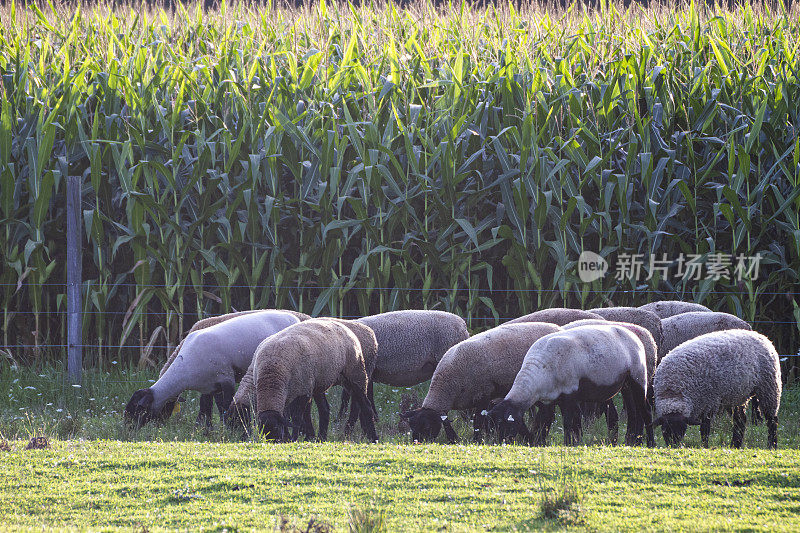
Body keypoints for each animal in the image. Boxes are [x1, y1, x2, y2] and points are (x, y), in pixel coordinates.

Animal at [123, 308, 302, 428]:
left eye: (138, 409)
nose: (129, 429)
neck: (185, 368)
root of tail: (293, 317)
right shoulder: (209, 386)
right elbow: (205, 408)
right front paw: (204, 429)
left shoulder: (226, 379)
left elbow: (225, 406)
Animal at [400, 322, 564, 442]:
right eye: (412, 427)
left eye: (427, 427)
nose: (417, 443)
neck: (447, 383)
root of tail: (556, 327)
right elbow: (448, 422)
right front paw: (455, 439)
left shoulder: (483, 394)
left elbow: (478, 421)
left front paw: (477, 440)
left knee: (547, 412)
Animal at [484, 324, 652, 444]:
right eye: (493, 426)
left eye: (505, 425)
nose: (500, 444)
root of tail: (633, 334)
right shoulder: (549, 400)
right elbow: (544, 423)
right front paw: (541, 443)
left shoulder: (570, 394)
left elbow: (569, 423)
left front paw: (569, 443)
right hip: (625, 384)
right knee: (632, 413)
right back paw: (631, 441)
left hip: (638, 377)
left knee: (646, 410)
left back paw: (650, 444)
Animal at [648, 328, 780, 448]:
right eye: (664, 430)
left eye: (682, 430)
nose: (673, 446)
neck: (673, 389)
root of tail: (761, 336)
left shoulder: (710, 402)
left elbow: (705, 429)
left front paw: (704, 446)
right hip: (736, 395)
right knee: (740, 420)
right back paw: (735, 445)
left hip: (769, 387)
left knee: (772, 420)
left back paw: (772, 445)